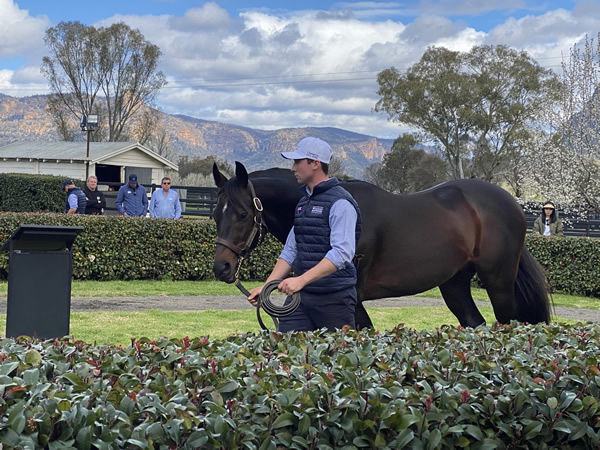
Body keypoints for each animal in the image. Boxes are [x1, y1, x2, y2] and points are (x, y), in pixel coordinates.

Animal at [212, 160, 552, 328]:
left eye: (242, 213)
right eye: (216, 213)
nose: (222, 267)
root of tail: (511, 203)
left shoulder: (353, 299)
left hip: (498, 281)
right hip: (454, 282)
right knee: (475, 324)